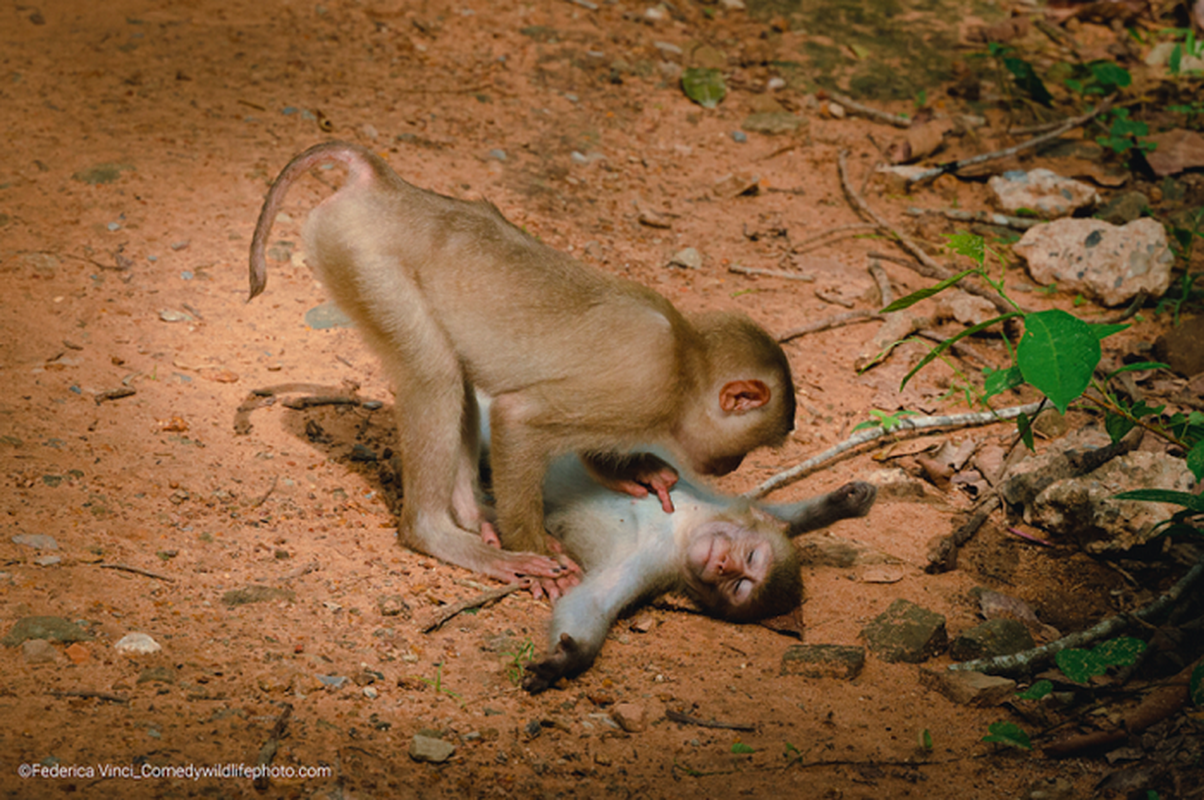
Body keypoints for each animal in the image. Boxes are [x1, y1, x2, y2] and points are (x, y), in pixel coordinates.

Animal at [249, 143, 794, 597]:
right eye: (748, 448)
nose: (731, 467)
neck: (686, 359)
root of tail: (383, 186)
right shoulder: (646, 390)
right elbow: (518, 418)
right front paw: (534, 550)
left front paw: (629, 469)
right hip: (363, 259)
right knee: (435, 374)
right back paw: (442, 534)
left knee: (456, 376)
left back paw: (472, 513)